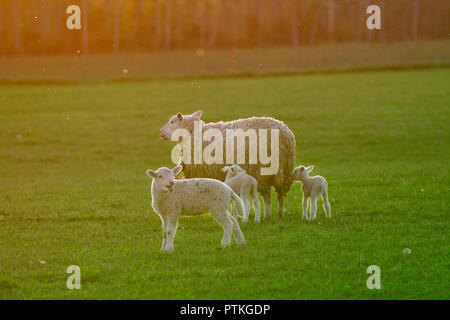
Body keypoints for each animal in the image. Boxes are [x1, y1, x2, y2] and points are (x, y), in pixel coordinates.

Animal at [158, 110, 296, 220]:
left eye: (172, 121)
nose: (160, 133)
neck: (194, 134)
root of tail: (285, 134)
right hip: (284, 171)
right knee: (280, 195)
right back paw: (279, 214)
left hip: (262, 170)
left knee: (267, 196)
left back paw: (267, 215)